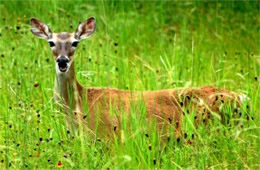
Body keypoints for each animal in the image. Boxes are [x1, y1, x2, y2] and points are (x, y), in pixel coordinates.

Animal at [29, 16, 249, 142]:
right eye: (51, 42)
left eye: (75, 42)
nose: (62, 61)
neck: (78, 104)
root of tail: (241, 97)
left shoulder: (107, 137)